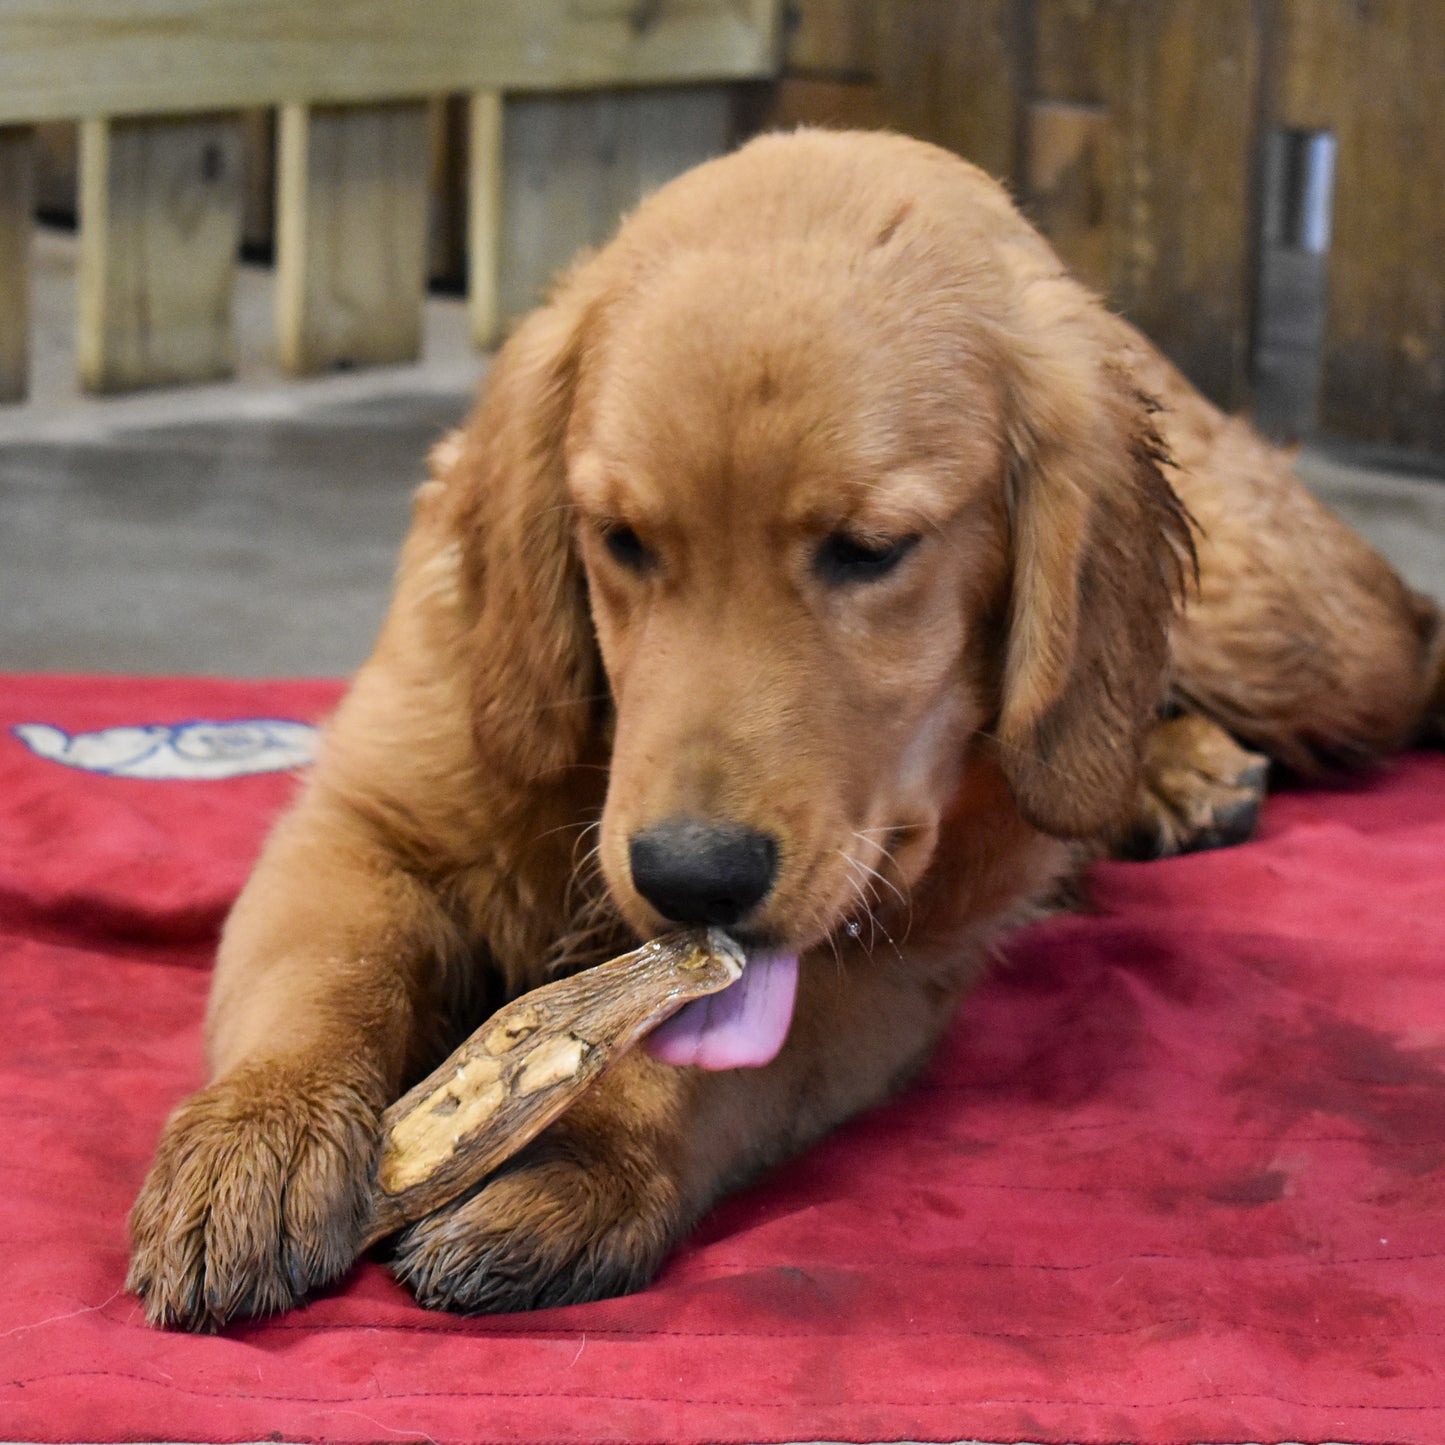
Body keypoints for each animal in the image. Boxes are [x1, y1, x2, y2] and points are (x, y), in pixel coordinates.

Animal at [127, 130, 1445, 1323]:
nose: (691, 874)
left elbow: (724, 1070)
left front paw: (586, 1163)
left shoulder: (897, 957)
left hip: (1293, 639)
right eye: (620, 540)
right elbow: (320, 978)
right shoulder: (364, 819)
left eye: (869, 550)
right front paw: (258, 1139)